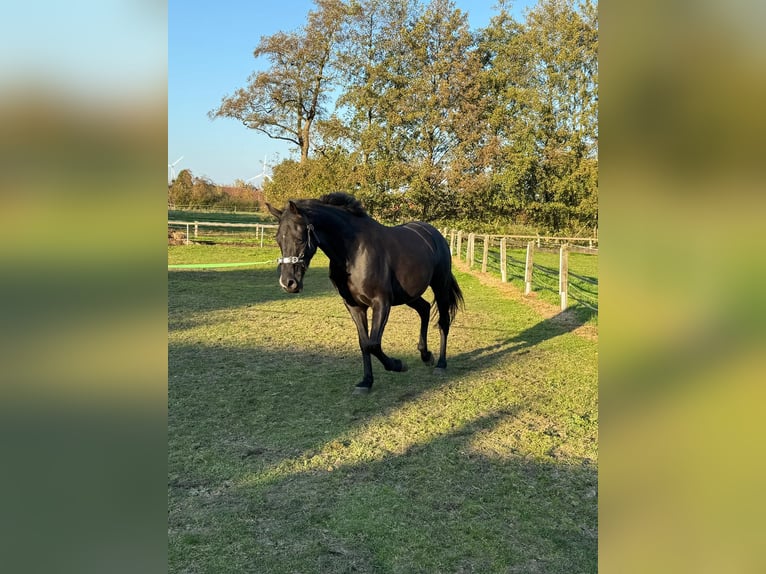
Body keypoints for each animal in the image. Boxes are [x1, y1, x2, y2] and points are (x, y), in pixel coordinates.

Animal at [268, 194, 464, 396]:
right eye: (278, 239)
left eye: (300, 238)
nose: (288, 283)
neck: (354, 252)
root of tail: (434, 234)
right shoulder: (354, 306)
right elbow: (364, 343)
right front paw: (366, 382)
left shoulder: (382, 303)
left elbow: (373, 344)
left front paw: (398, 364)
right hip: (409, 295)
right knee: (424, 309)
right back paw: (426, 355)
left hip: (440, 287)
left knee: (443, 322)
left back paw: (441, 364)